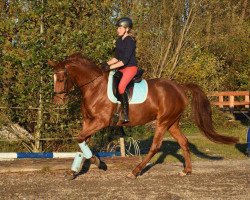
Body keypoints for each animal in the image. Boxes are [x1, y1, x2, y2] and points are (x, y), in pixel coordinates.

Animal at [48, 53, 238, 178]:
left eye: (61, 79)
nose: (57, 102)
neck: (94, 87)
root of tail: (179, 87)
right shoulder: (88, 121)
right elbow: (82, 141)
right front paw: (75, 170)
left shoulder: (101, 121)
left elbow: (80, 139)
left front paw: (97, 162)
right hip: (172, 122)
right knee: (183, 142)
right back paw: (186, 171)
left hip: (163, 122)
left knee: (155, 146)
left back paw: (135, 171)